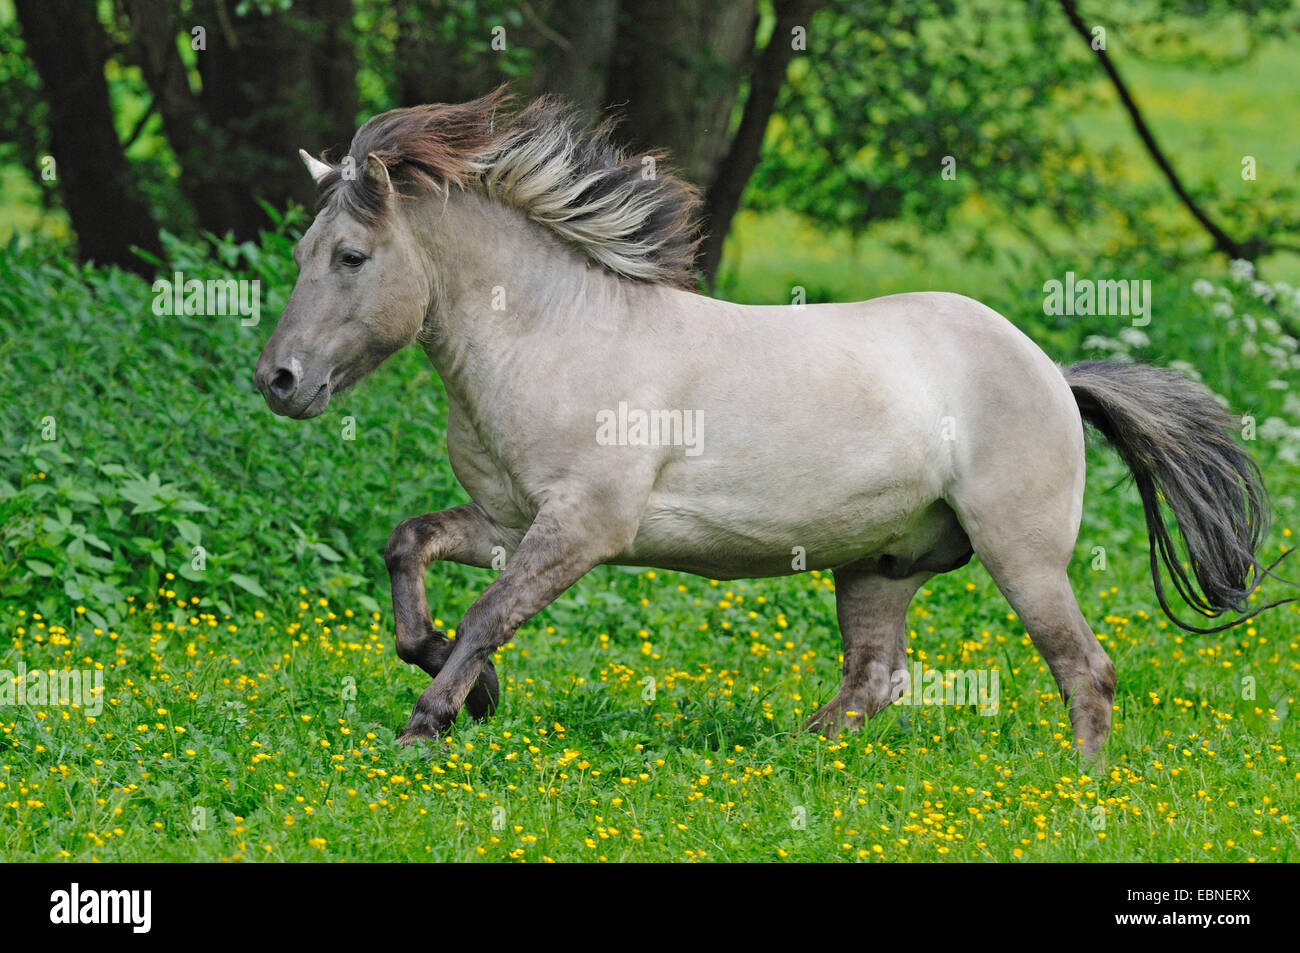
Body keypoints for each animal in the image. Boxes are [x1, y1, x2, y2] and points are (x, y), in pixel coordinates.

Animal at [253, 91, 1289, 759]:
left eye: (351, 256)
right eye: (303, 250)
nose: (278, 380)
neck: (556, 334)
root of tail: (1054, 373)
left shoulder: (585, 527)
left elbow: (486, 612)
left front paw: (428, 723)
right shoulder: (509, 520)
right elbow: (410, 550)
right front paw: (471, 690)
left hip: (1021, 554)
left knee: (1085, 669)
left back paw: (1078, 791)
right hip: (879, 564)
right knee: (873, 679)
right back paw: (788, 761)